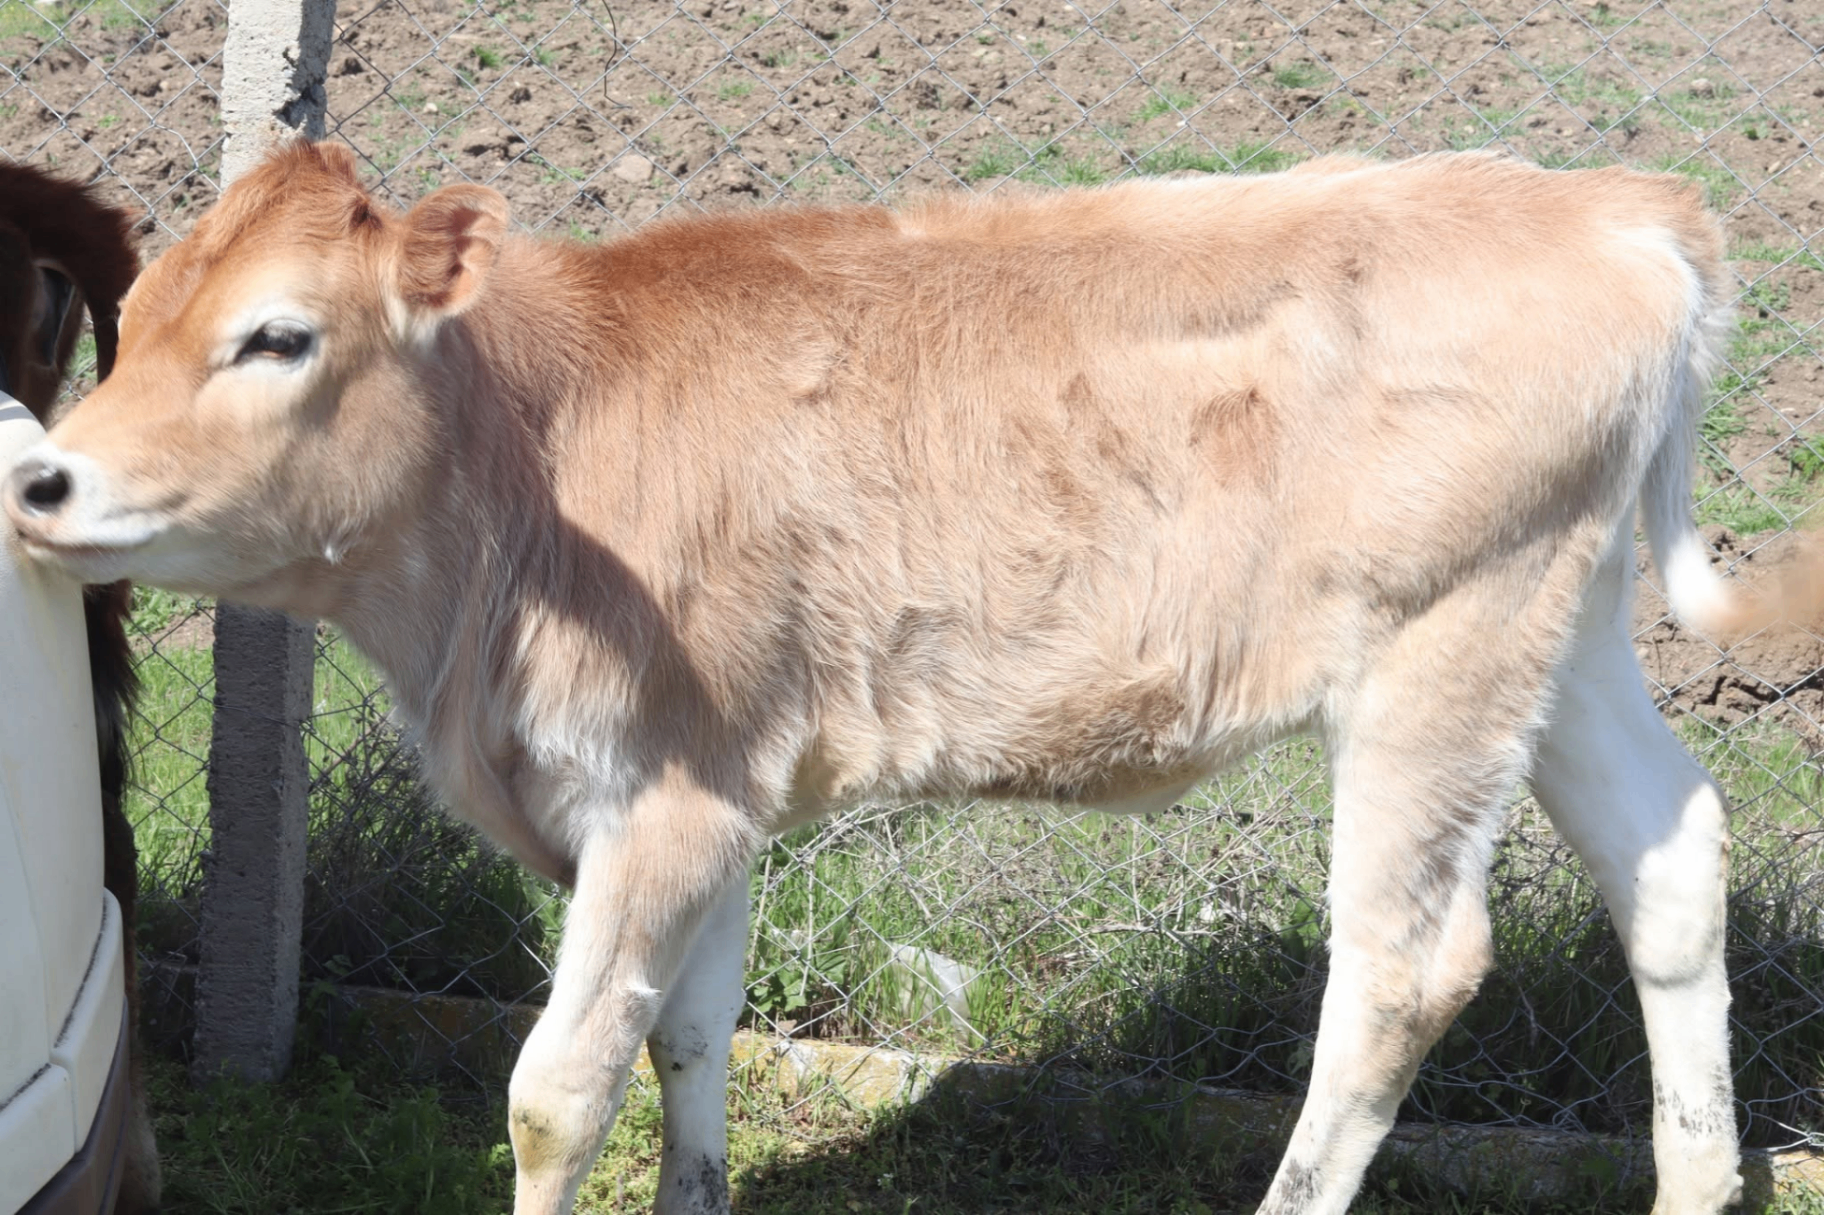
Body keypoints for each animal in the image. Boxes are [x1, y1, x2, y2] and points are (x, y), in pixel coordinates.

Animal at [3, 139, 1757, 1215]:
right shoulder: (717, 789)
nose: (44, 482)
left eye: (278, 336)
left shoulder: (654, 794)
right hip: (1562, 629)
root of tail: (1612, 204)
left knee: (1404, 965)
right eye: (129, 314)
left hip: (1441, 640)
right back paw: (1698, 1175)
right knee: (1671, 858)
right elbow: (691, 1030)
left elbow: (557, 1084)